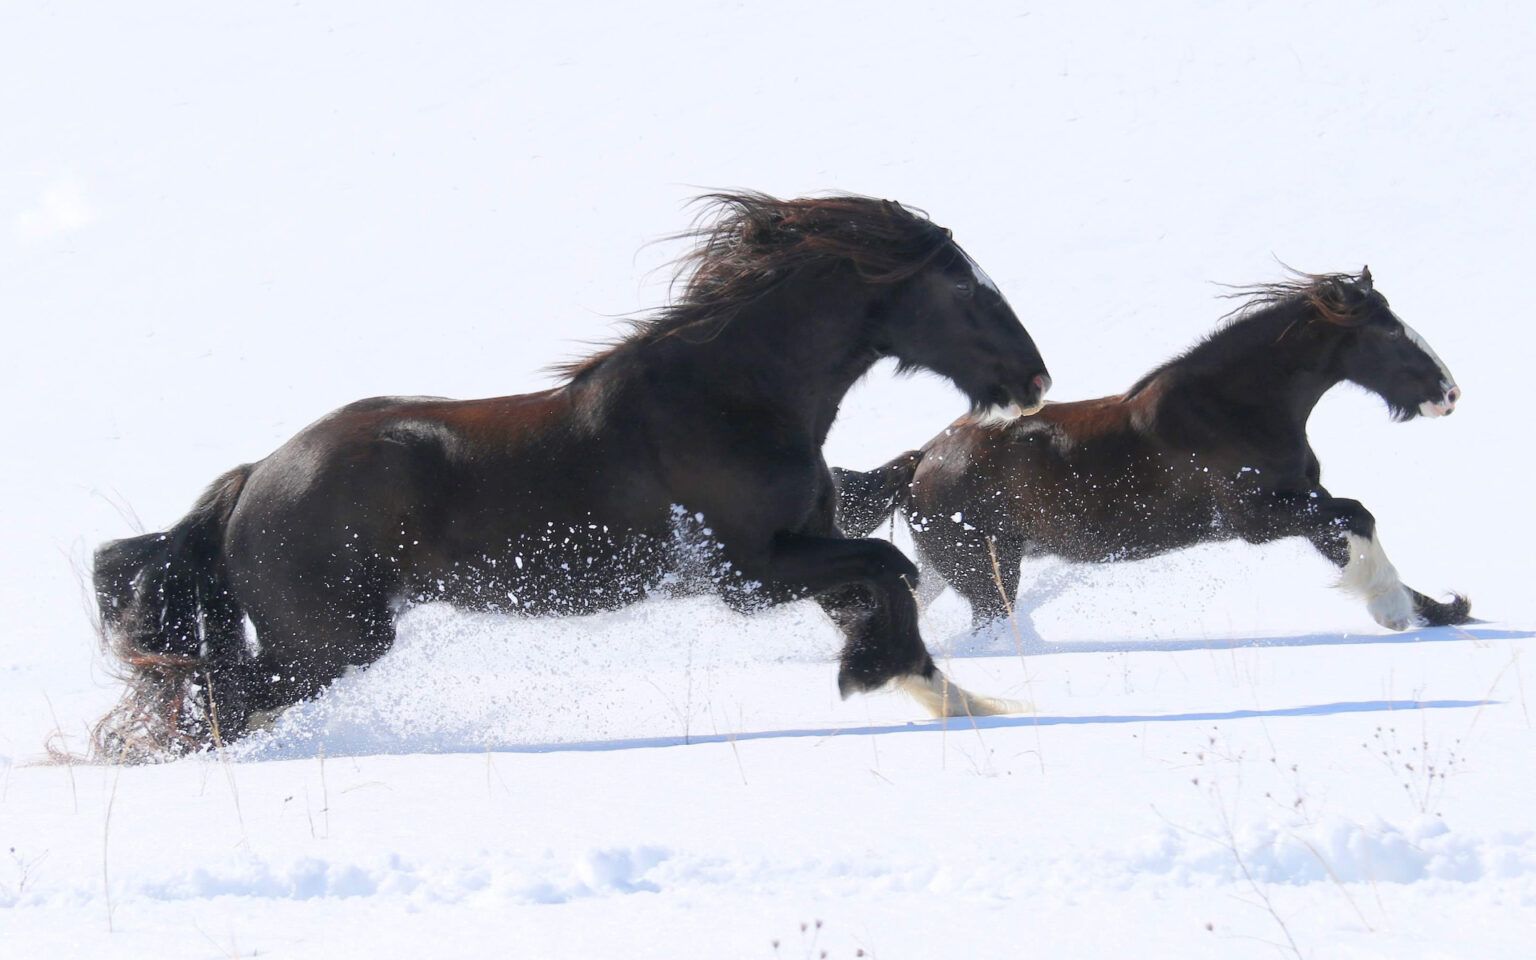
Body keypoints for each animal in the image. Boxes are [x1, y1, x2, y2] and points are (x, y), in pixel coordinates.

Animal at [90, 192, 1053, 759]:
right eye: (966, 290)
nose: (1035, 378)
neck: (736, 394)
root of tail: (253, 480)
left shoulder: (805, 552)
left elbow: (885, 593)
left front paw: (966, 700)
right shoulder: (751, 571)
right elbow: (891, 569)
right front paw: (873, 675)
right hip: (332, 642)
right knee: (219, 702)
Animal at [834, 267, 1471, 636]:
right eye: (1386, 331)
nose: (1448, 394)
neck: (1233, 408)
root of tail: (921, 459)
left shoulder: (1303, 502)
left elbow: (1347, 536)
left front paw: (1440, 609)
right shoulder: (1258, 518)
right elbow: (1358, 513)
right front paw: (1396, 611)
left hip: (950, 563)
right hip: (986, 571)